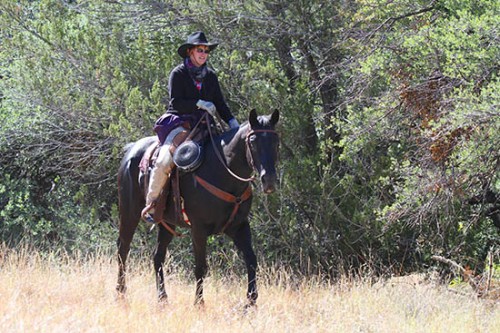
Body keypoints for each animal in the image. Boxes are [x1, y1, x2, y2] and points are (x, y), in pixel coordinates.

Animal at [118, 108, 282, 304]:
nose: (269, 180)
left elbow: (251, 259)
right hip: (129, 214)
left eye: (276, 141)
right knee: (123, 249)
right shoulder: (199, 229)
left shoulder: (239, 227)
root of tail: (131, 150)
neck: (222, 171)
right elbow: (201, 267)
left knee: (157, 256)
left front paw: (251, 302)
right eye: (253, 142)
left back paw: (163, 299)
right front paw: (199, 304)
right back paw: (121, 293)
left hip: (167, 223)